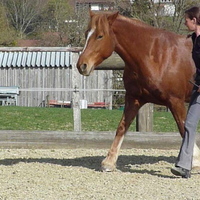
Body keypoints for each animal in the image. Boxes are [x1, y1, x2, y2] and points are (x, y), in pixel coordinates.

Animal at [76, 10, 200, 171]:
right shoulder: (134, 98)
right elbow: (122, 127)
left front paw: (195, 161)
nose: (82, 65)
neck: (155, 56)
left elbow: (184, 128)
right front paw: (109, 162)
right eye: (86, 34)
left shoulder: (176, 101)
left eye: (100, 35)